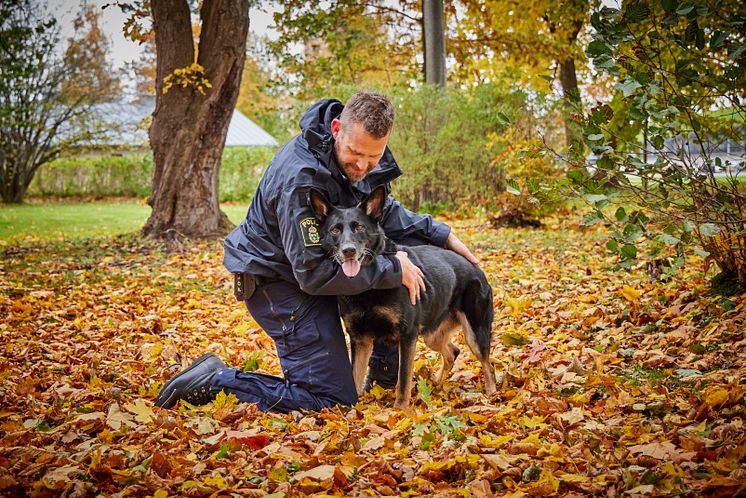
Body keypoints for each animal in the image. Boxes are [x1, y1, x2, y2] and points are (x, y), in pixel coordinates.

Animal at [308, 185, 494, 406]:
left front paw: (401, 409)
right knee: (452, 352)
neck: (369, 286)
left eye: (359, 227)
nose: (349, 251)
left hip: (474, 334)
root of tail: (477, 270)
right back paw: (436, 384)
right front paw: (352, 411)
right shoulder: (360, 340)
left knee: (488, 365)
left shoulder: (407, 336)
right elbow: (355, 376)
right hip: (431, 335)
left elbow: (403, 380)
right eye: (335, 230)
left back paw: (492, 394)